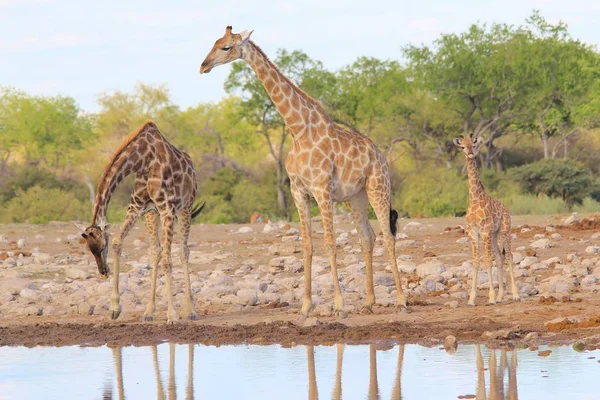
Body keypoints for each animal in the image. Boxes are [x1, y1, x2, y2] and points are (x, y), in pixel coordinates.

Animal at [199, 26, 406, 318]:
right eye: (215, 42)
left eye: (226, 47)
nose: (203, 66)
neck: (298, 131)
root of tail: (381, 156)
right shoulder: (298, 191)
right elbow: (307, 245)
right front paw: (306, 306)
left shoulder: (322, 190)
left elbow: (330, 243)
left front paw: (339, 305)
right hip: (355, 198)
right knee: (368, 238)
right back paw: (368, 302)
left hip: (378, 187)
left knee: (388, 236)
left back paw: (400, 300)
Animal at [452, 136, 516, 304]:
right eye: (462, 147)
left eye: (473, 145)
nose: (470, 153)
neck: (475, 199)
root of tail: (506, 209)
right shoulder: (473, 232)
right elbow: (475, 261)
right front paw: (471, 299)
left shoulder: (485, 231)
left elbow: (487, 260)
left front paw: (491, 298)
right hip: (494, 235)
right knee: (500, 257)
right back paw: (501, 296)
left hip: (505, 230)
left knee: (509, 256)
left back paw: (515, 295)